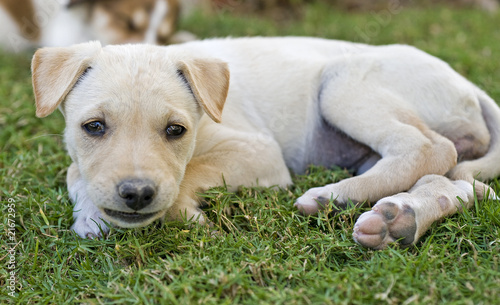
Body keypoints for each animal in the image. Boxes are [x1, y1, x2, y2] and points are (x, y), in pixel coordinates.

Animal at [31, 36, 500, 248]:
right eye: (93, 127)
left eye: (175, 130)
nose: (137, 194)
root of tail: (469, 87)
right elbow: (74, 171)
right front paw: (90, 214)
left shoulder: (260, 152)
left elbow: (192, 171)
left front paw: (189, 215)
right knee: (456, 179)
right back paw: (397, 218)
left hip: (343, 84)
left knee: (430, 148)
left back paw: (332, 196)